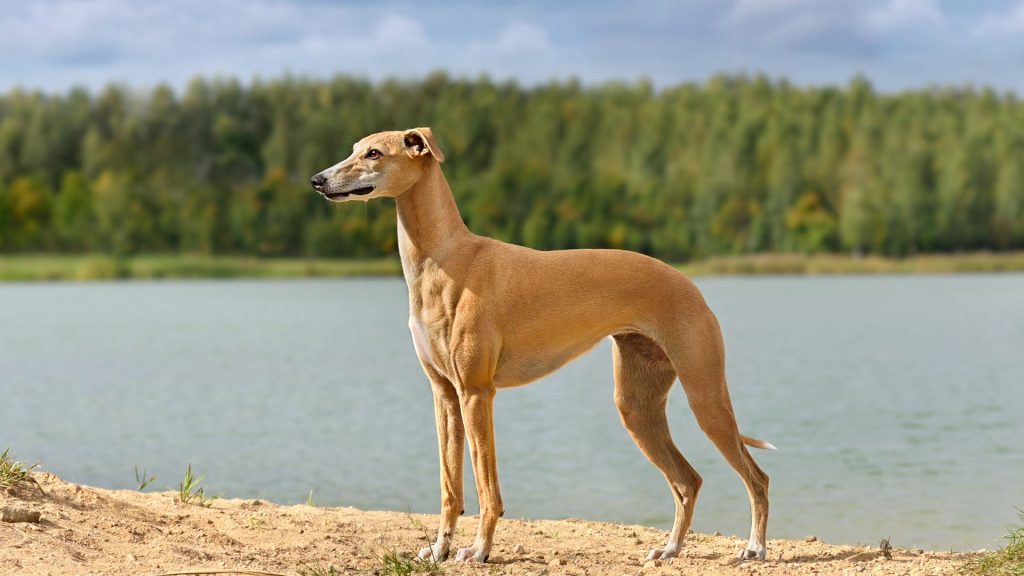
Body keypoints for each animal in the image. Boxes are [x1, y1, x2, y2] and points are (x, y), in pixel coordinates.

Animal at [307, 127, 770, 561]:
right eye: (355, 148)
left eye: (374, 153)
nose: (317, 180)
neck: (446, 257)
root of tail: (690, 283)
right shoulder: (444, 394)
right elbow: (450, 488)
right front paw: (439, 550)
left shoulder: (476, 393)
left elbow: (485, 486)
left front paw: (479, 550)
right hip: (637, 407)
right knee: (687, 480)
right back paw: (670, 548)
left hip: (705, 396)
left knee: (756, 477)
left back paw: (754, 547)